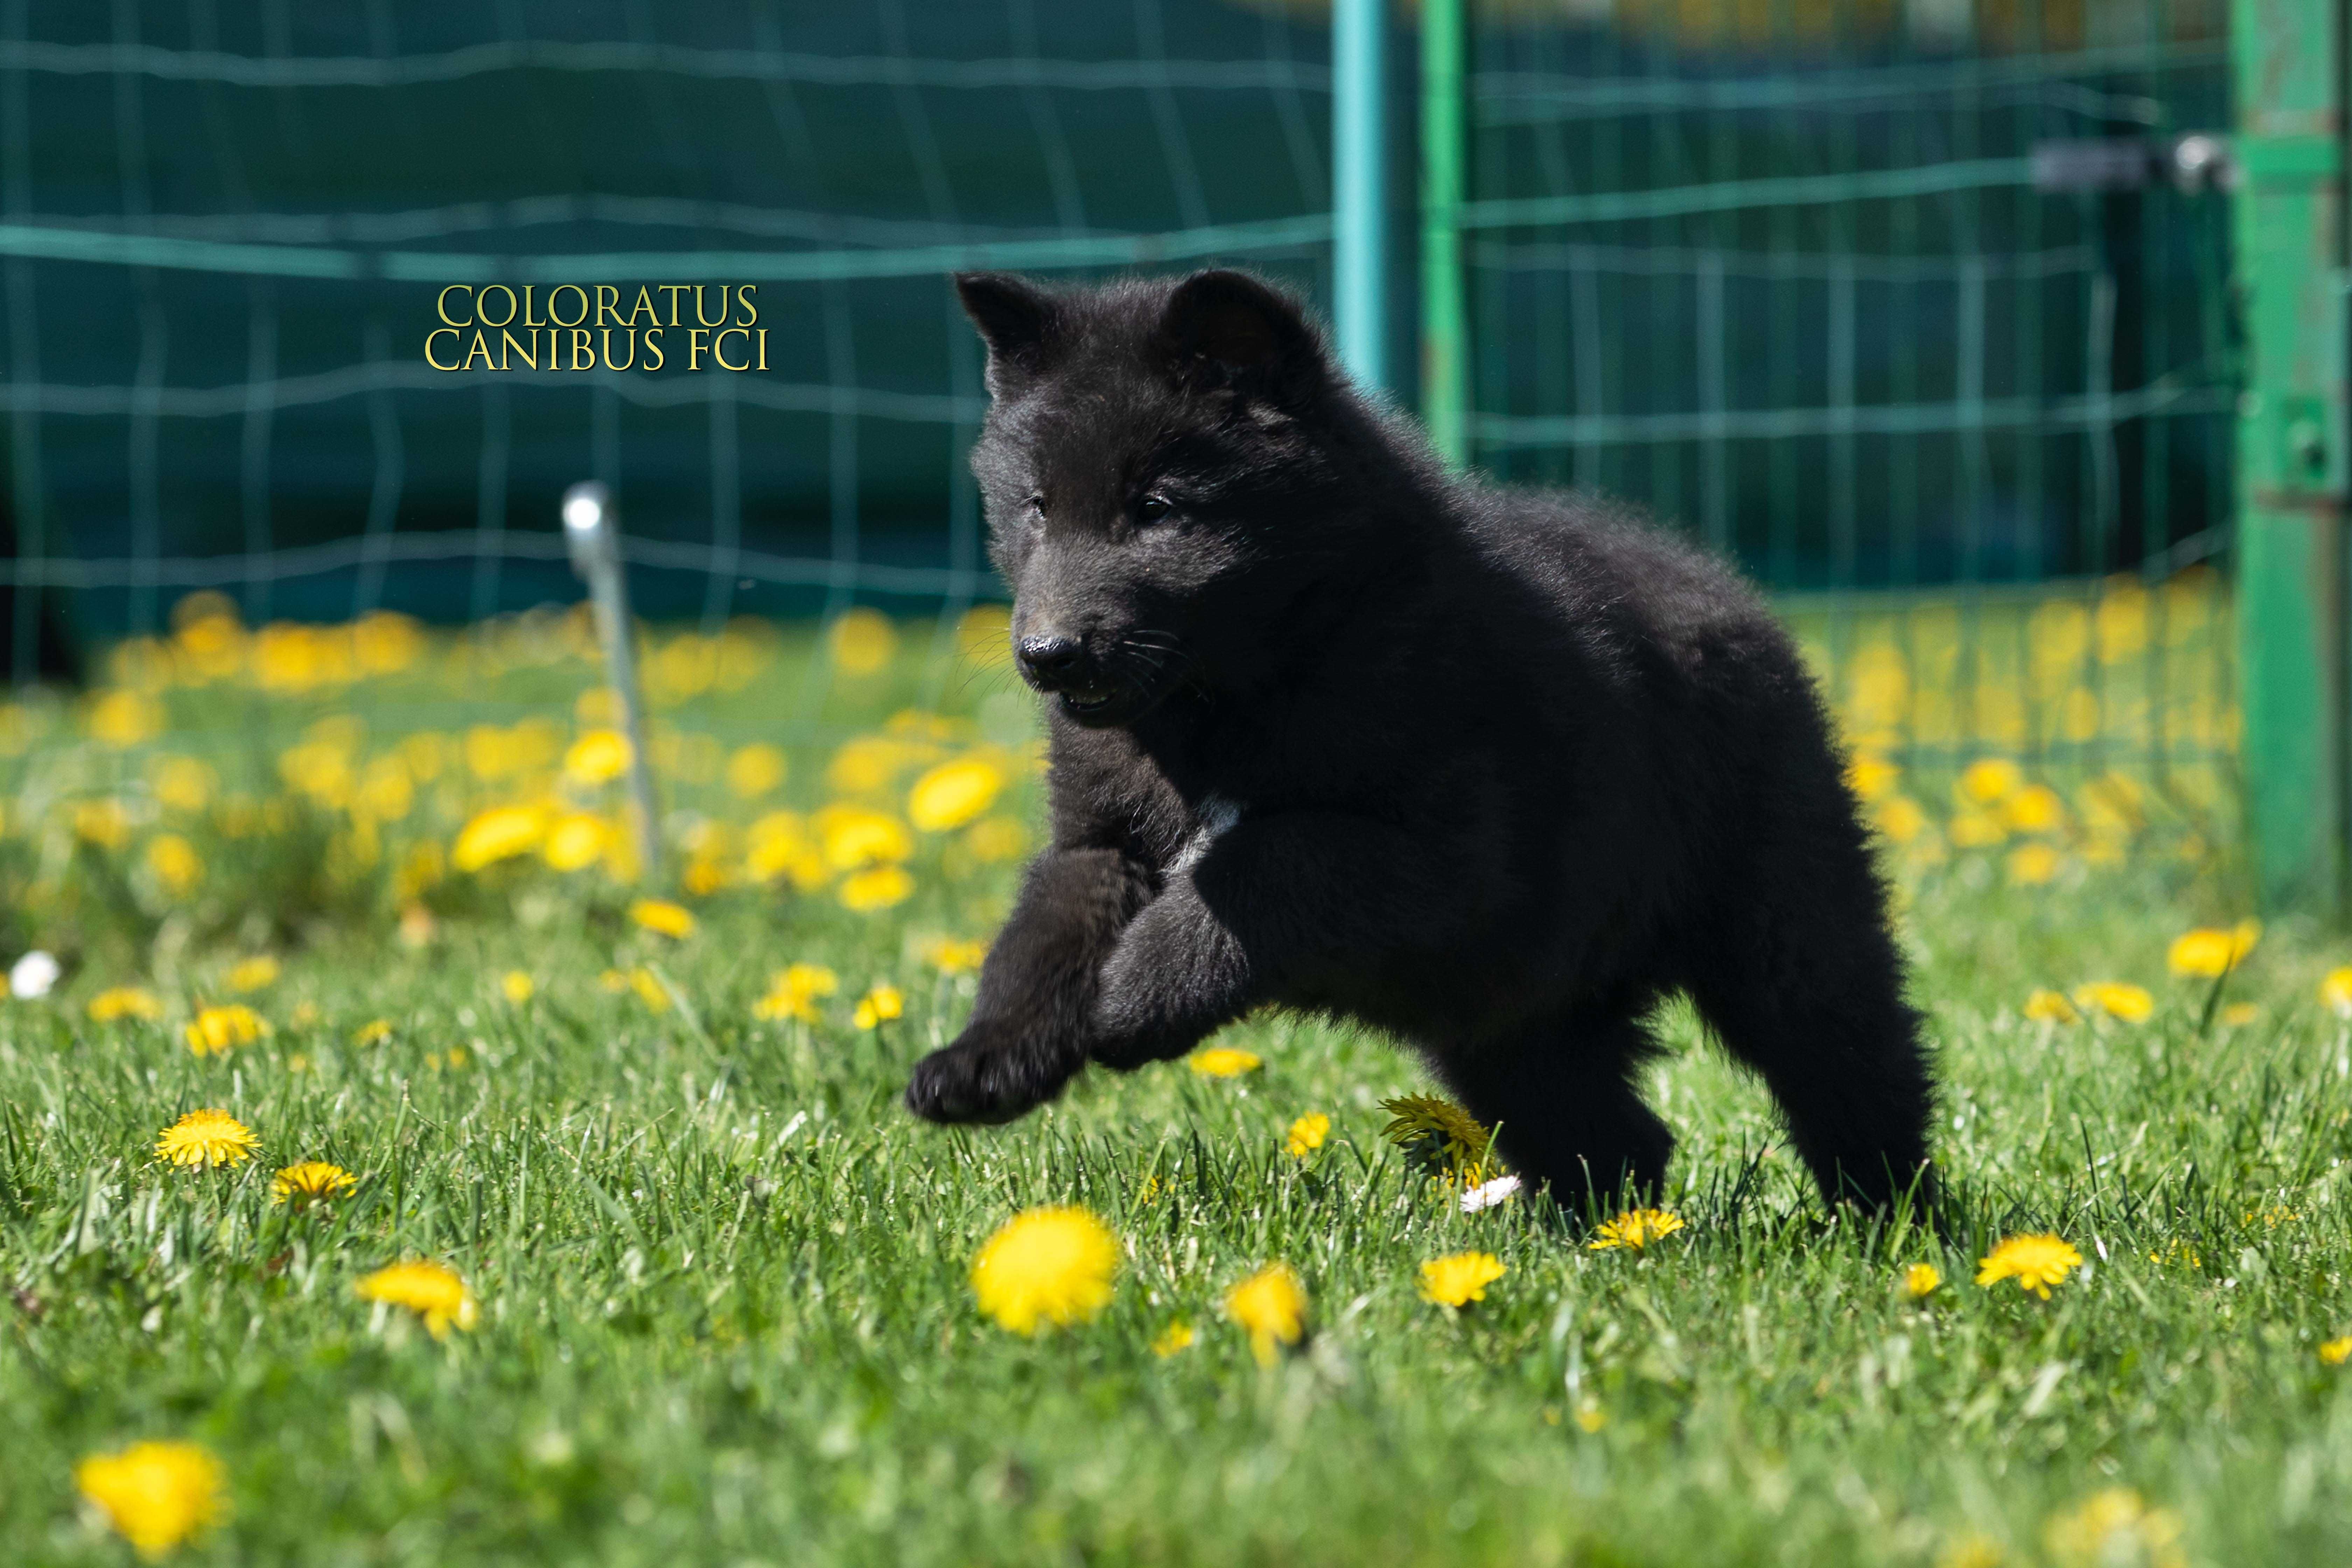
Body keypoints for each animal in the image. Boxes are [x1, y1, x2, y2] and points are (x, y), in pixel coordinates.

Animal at [898, 267, 1928, 1213]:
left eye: (1156, 508)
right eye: (1036, 506)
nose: (1048, 655)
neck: (1236, 694)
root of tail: (1727, 595)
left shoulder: (1456, 860)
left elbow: (1272, 853)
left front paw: (1135, 996)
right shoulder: (1102, 839)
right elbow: (1042, 932)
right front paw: (985, 1056)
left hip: (1781, 926)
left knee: (1854, 1069)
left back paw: (1895, 1227)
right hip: (1512, 1012)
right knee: (1619, 1136)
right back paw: (1591, 1240)